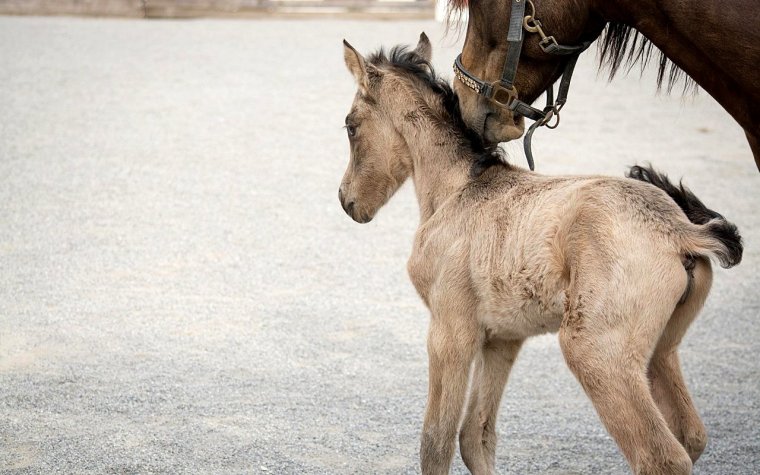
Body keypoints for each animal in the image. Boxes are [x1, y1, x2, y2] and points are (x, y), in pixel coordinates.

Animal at [337, 33, 742, 474]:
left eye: (350, 126)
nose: (346, 201)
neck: (458, 189)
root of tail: (681, 231)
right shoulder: (502, 339)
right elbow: (475, 436)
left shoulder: (450, 331)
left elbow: (436, 441)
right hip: (661, 351)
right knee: (691, 435)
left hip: (597, 351)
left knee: (660, 455)